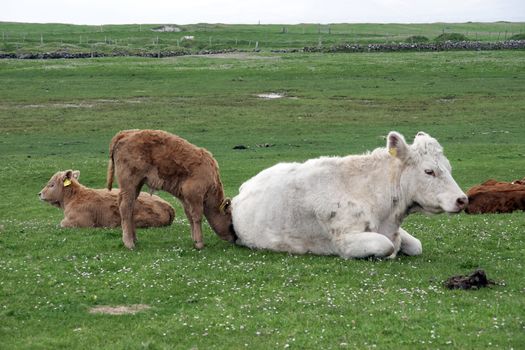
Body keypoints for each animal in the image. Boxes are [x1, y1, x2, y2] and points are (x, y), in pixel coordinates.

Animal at [39, 170, 174, 230]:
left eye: (51, 185)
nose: (39, 194)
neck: (74, 197)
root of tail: (168, 205)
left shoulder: (80, 222)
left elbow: (61, 223)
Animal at [106, 130, 235, 250]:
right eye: (231, 222)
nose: (234, 238)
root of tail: (125, 133)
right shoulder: (194, 195)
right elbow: (197, 217)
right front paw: (199, 243)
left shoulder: (185, 198)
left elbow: (190, 217)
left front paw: (194, 239)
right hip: (130, 184)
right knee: (125, 208)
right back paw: (129, 243)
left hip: (136, 186)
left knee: (130, 207)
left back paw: (134, 239)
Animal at [231, 131, 464, 260]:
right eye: (429, 171)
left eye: (449, 167)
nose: (462, 199)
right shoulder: (345, 240)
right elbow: (387, 246)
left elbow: (415, 245)